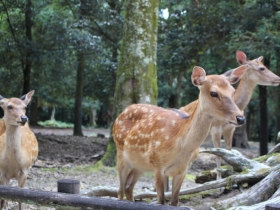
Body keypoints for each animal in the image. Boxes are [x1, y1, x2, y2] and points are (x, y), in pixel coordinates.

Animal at [112, 65, 247, 205]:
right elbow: (161, 201)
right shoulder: (158, 165)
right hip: (120, 152)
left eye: (233, 91)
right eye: (213, 93)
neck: (180, 146)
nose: (241, 118)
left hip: (141, 164)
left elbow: (175, 202)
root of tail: (121, 113)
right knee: (120, 190)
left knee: (128, 186)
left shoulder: (182, 170)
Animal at [180, 50, 280, 179]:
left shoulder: (230, 129)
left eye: (233, 91)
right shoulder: (215, 129)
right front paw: (218, 179)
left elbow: (229, 151)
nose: (278, 78)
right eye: (262, 68)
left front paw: (230, 174)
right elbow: (217, 153)